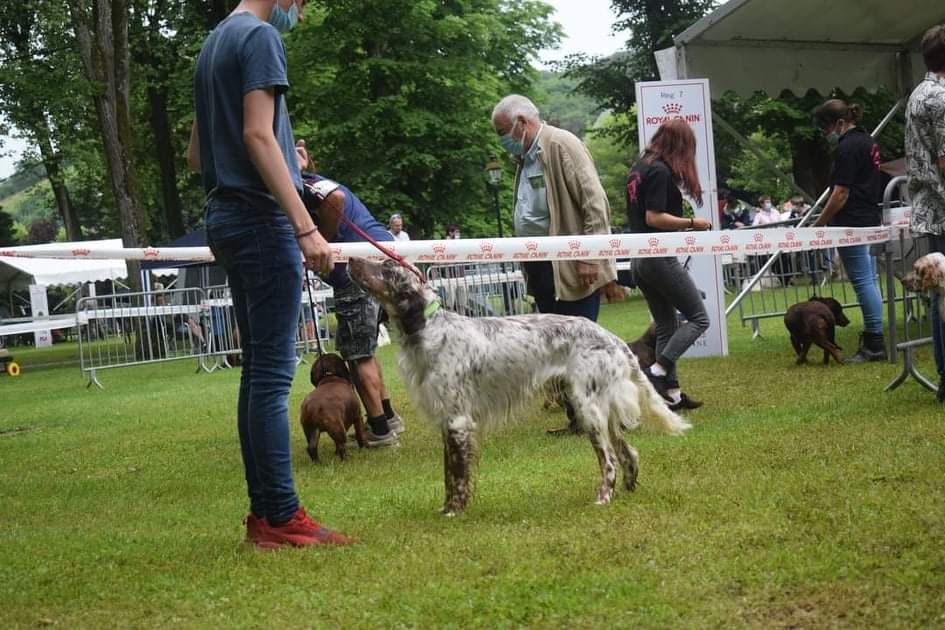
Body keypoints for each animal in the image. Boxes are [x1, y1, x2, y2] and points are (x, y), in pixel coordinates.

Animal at [344, 260, 684, 516]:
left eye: (385, 268)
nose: (349, 259)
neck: (430, 330)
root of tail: (611, 338)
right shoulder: (446, 421)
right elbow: (448, 472)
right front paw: (447, 508)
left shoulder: (456, 421)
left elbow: (457, 474)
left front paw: (454, 511)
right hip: (602, 408)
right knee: (628, 452)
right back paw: (628, 487)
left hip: (588, 408)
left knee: (610, 460)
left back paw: (603, 497)